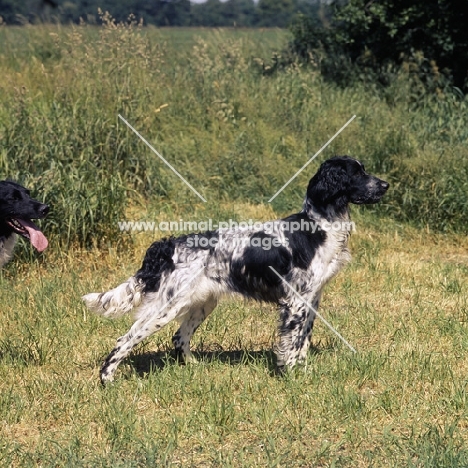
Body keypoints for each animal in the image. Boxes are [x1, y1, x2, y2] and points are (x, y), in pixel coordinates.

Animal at [83, 155, 388, 382]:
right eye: (357, 173)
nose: (385, 185)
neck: (318, 225)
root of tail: (168, 245)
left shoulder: (312, 299)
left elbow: (303, 341)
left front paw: (304, 371)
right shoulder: (295, 301)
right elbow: (291, 342)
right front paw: (290, 374)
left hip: (202, 303)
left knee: (179, 338)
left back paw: (196, 368)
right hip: (165, 307)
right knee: (125, 339)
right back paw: (107, 379)